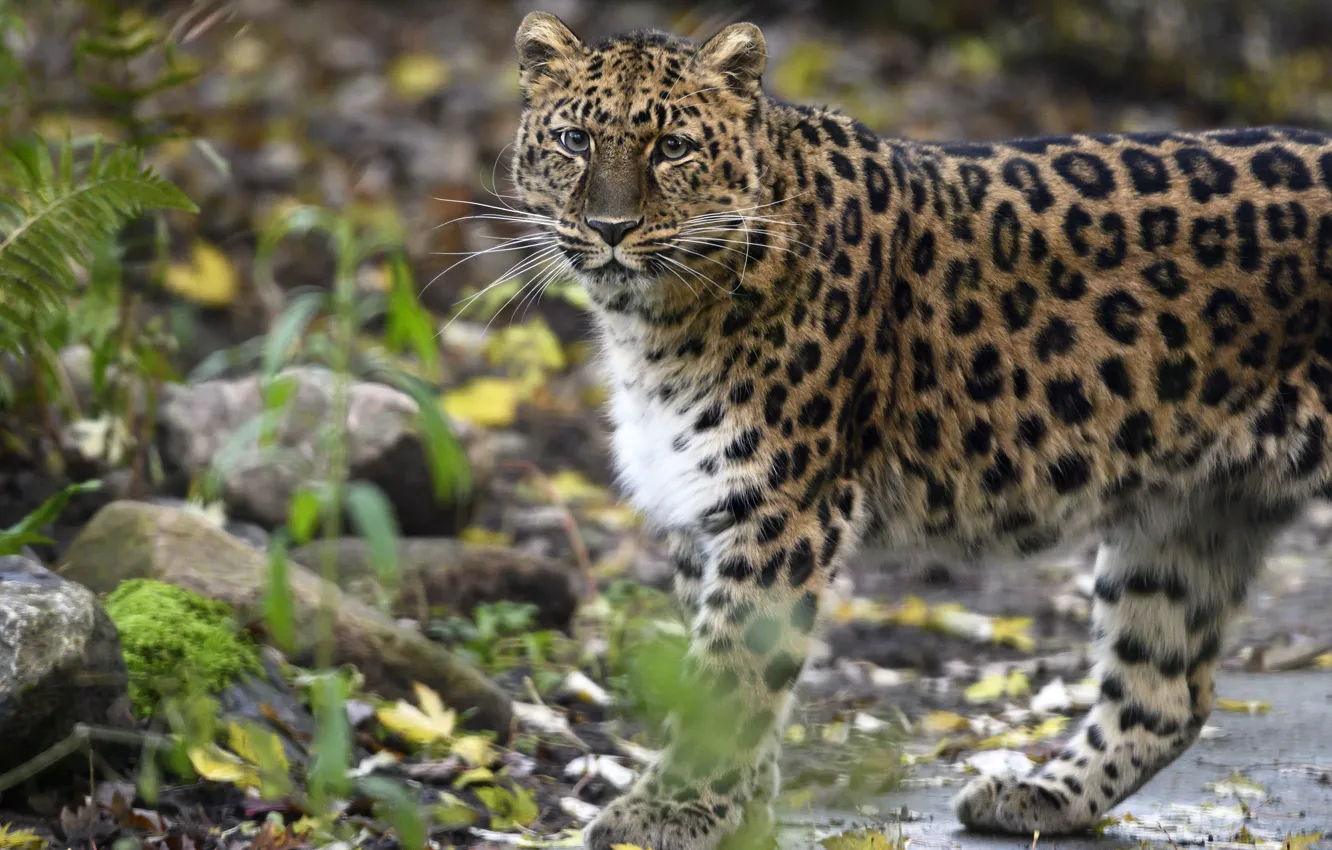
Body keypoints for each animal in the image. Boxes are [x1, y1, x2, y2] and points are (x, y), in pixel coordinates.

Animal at [507, 10, 1332, 849]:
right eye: (574, 140)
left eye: (672, 147)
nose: (610, 228)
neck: (652, 323)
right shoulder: (699, 504)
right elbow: (713, 673)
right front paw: (737, 806)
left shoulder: (784, 506)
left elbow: (730, 668)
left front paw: (669, 809)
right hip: (1192, 511)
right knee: (1165, 694)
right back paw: (1039, 796)